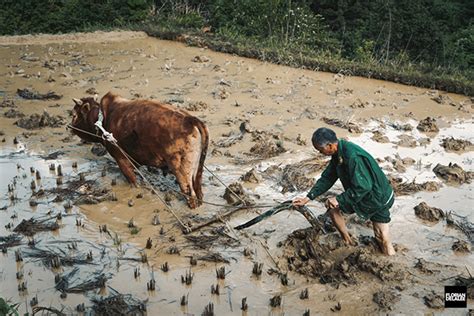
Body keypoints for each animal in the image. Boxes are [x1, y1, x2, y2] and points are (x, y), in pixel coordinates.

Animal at [71, 92, 209, 210]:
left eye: (74, 115)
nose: (70, 127)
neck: (103, 119)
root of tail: (190, 119)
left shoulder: (122, 159)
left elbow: (133, 181)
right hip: (197, 171)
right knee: (198, 190)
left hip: (181, 171)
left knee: (190, 195)